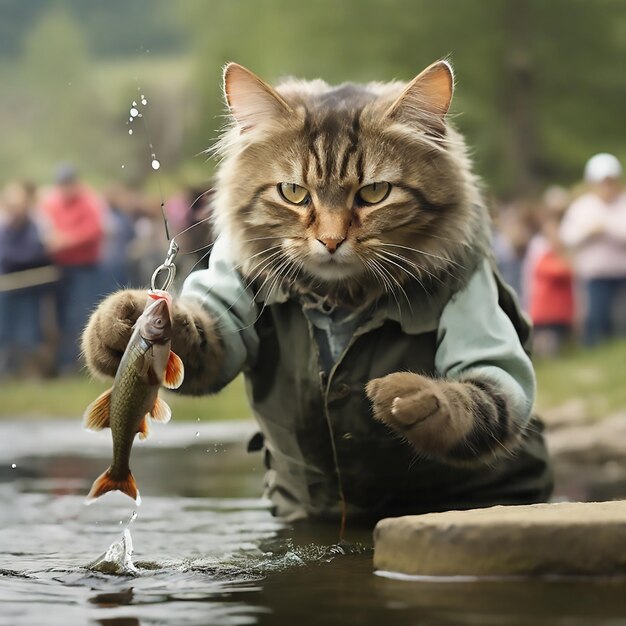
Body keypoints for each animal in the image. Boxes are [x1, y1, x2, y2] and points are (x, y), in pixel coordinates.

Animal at [81, 59, 552, 516]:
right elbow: (202, 337)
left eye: (374, 193)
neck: (340, 299)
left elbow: (481, 398)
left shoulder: (476, 306)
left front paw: (411, 397)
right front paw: (118, 323)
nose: (330, 241)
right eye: (293, 192)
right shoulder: (230, 320)